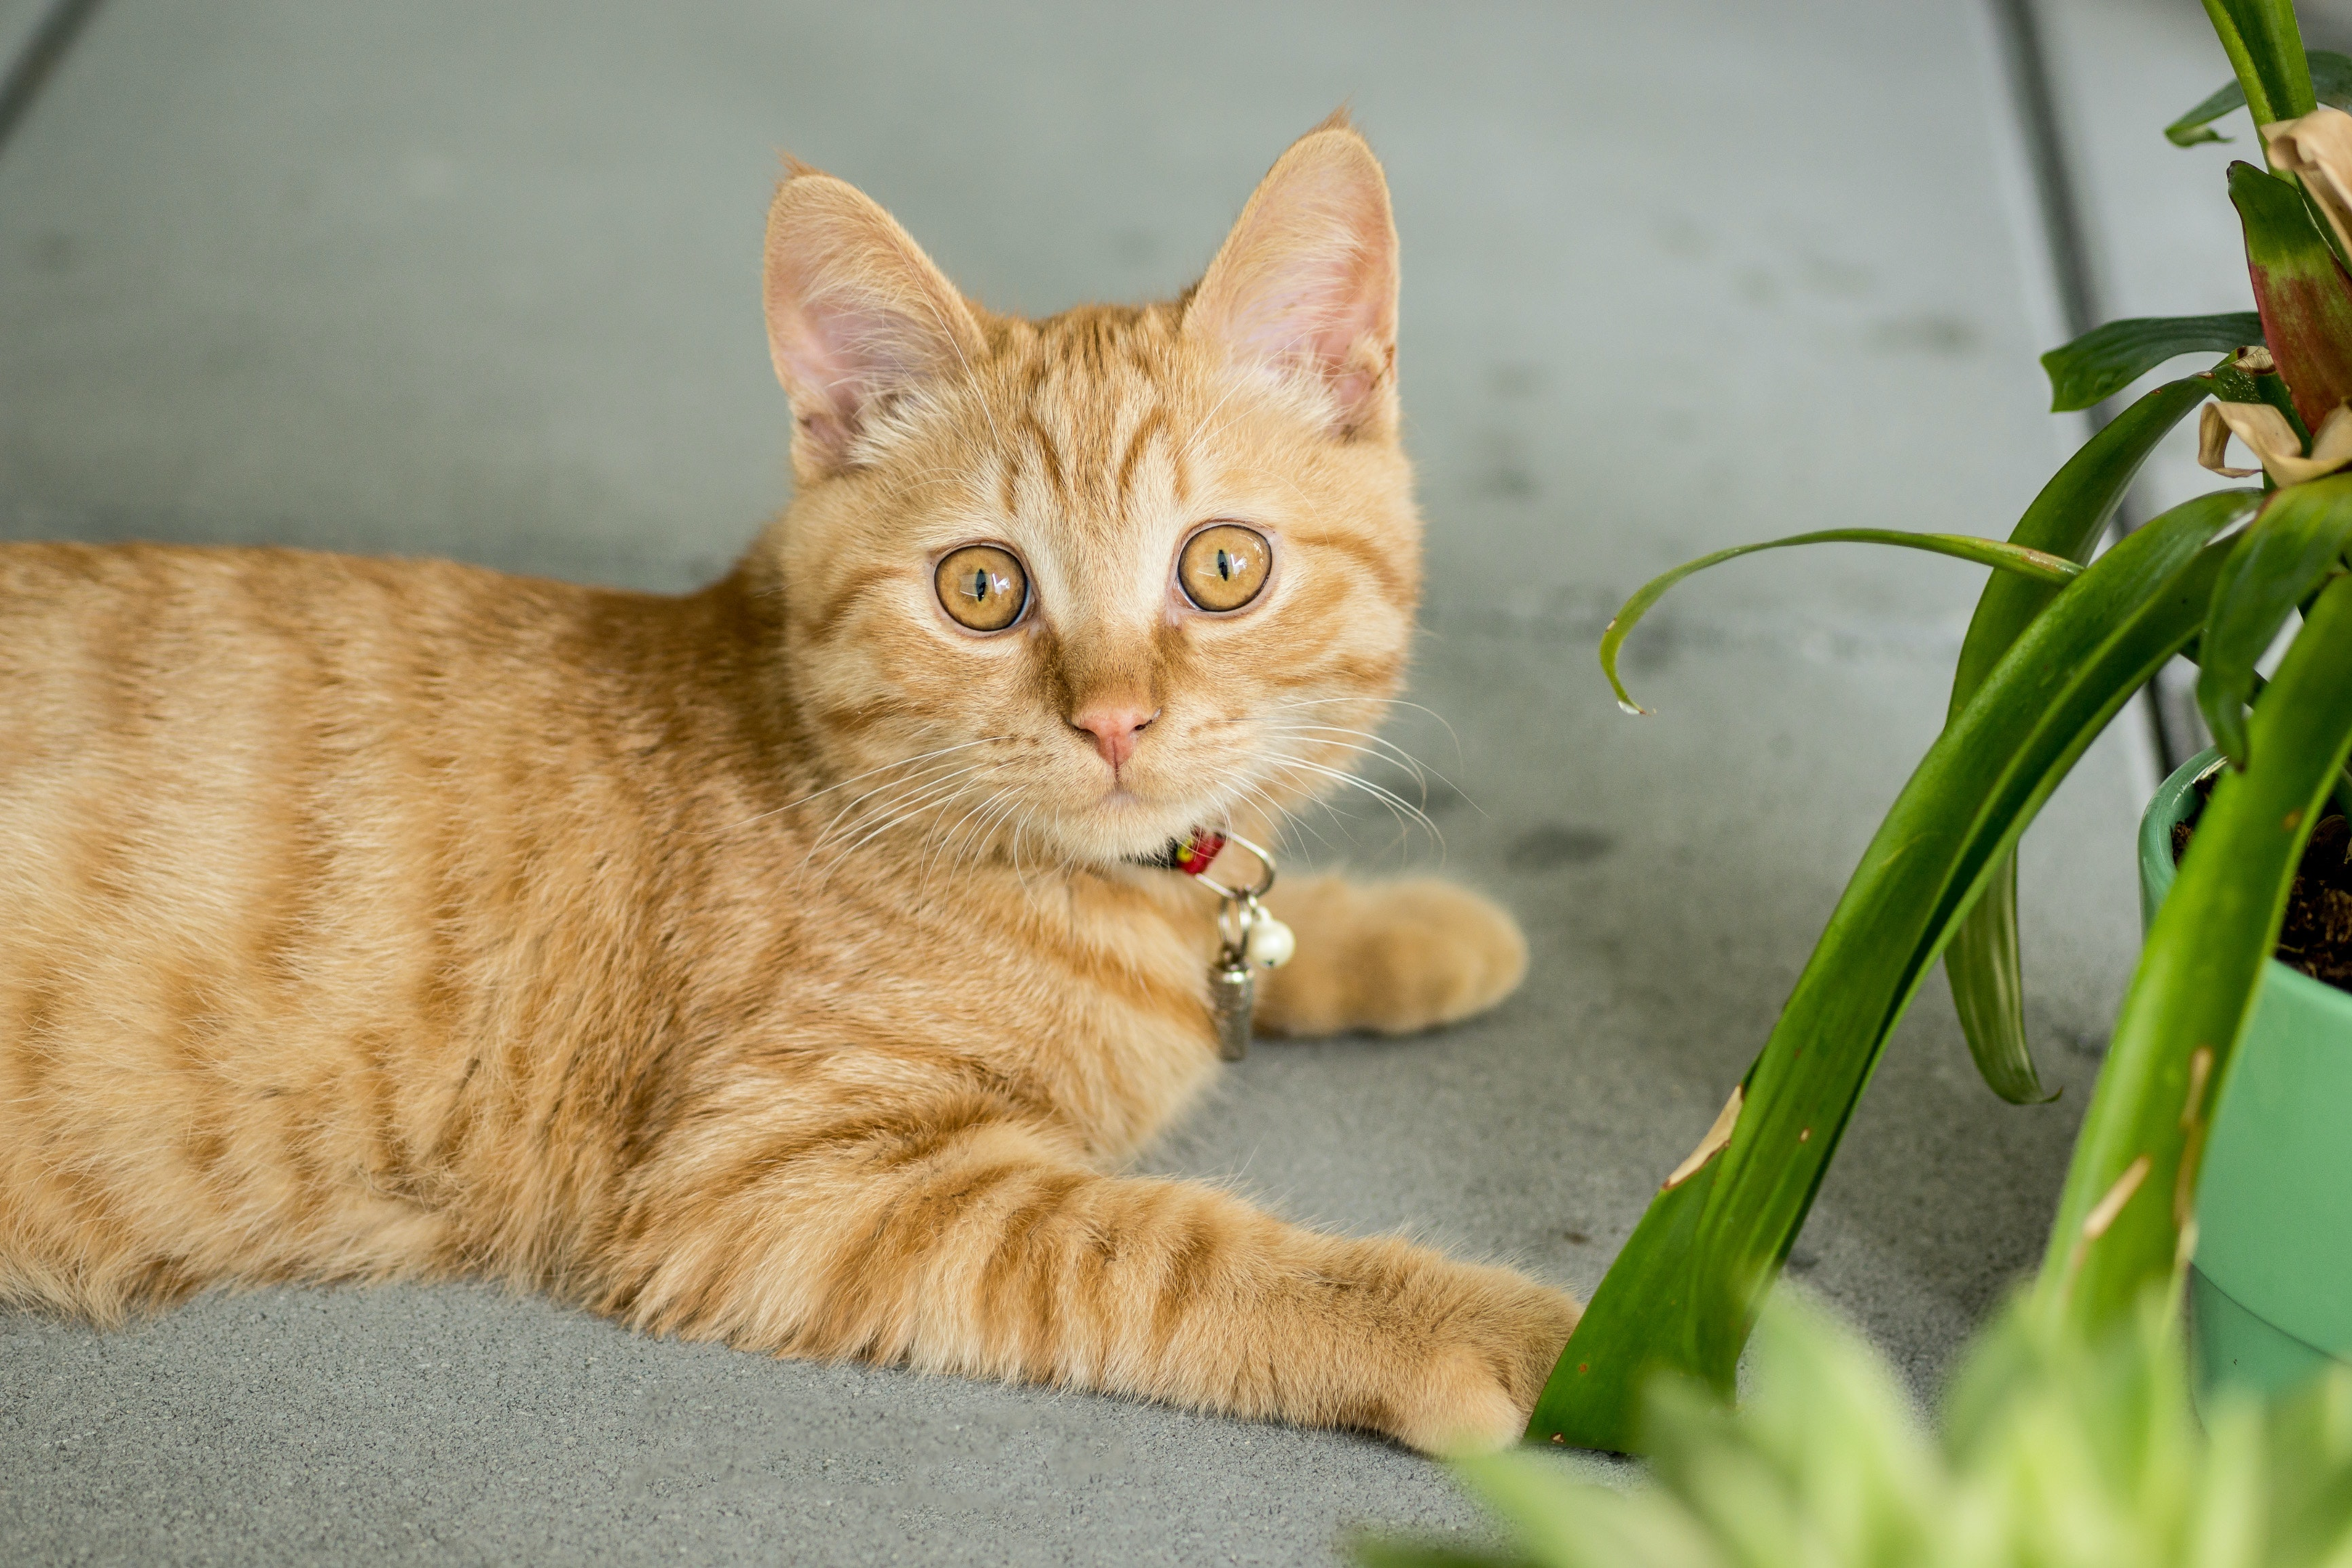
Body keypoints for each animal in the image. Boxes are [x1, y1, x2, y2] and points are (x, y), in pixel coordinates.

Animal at [9, 116, 1580, 1457]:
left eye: (1225, 566)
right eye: (982, 589)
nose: (1115, 721)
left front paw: (1414, 932)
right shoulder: (773, 1182)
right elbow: (1166, 1252)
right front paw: (1522, 1337)